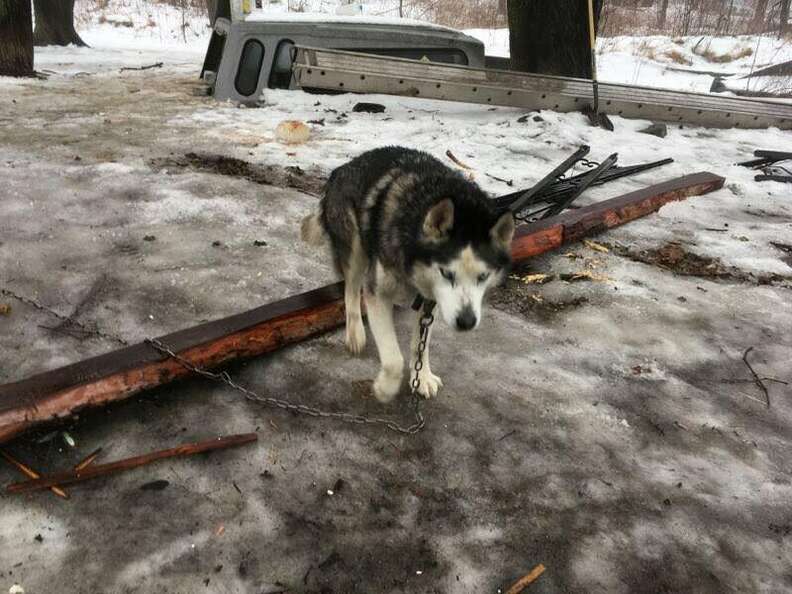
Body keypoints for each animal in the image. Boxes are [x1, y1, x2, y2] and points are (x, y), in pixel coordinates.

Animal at [300, 146, 516, 400]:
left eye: (483, 276)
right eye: (447, 273)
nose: (466, 322)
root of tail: (342, 168)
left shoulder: (431, 300)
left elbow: (419, 344)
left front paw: (421, 377)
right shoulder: (378, 293)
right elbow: (393, 359)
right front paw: (385, 388)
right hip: (354, 247)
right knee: (351, 289)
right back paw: (355, 333)